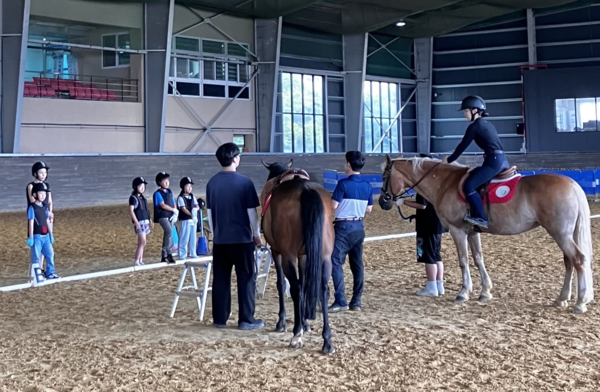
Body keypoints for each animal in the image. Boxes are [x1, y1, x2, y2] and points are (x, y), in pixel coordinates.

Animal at [260, 161, 338, 354]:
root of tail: (305, 189)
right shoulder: (303, 255)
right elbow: (304, 284)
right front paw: (305, 323)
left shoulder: (277, 252)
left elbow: (282, 285)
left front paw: (284, 323)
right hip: (325, 257)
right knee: (323, 289)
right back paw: (327, 341)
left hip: (288, 256)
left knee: (295, 288)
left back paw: (296, 335)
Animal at [378, 155, 592, 314]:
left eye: (384, 176)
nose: (383, 201)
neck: (445, 183)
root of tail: (572, 184)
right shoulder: (473, 231)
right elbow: (478, 258)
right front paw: (485, 292)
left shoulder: (457, 231)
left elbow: (464, 260)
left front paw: (464, 292)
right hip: (564, 234)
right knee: (569, 262)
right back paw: (562, 299)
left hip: (561, 234)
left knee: (578, 259)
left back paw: (580, 303)